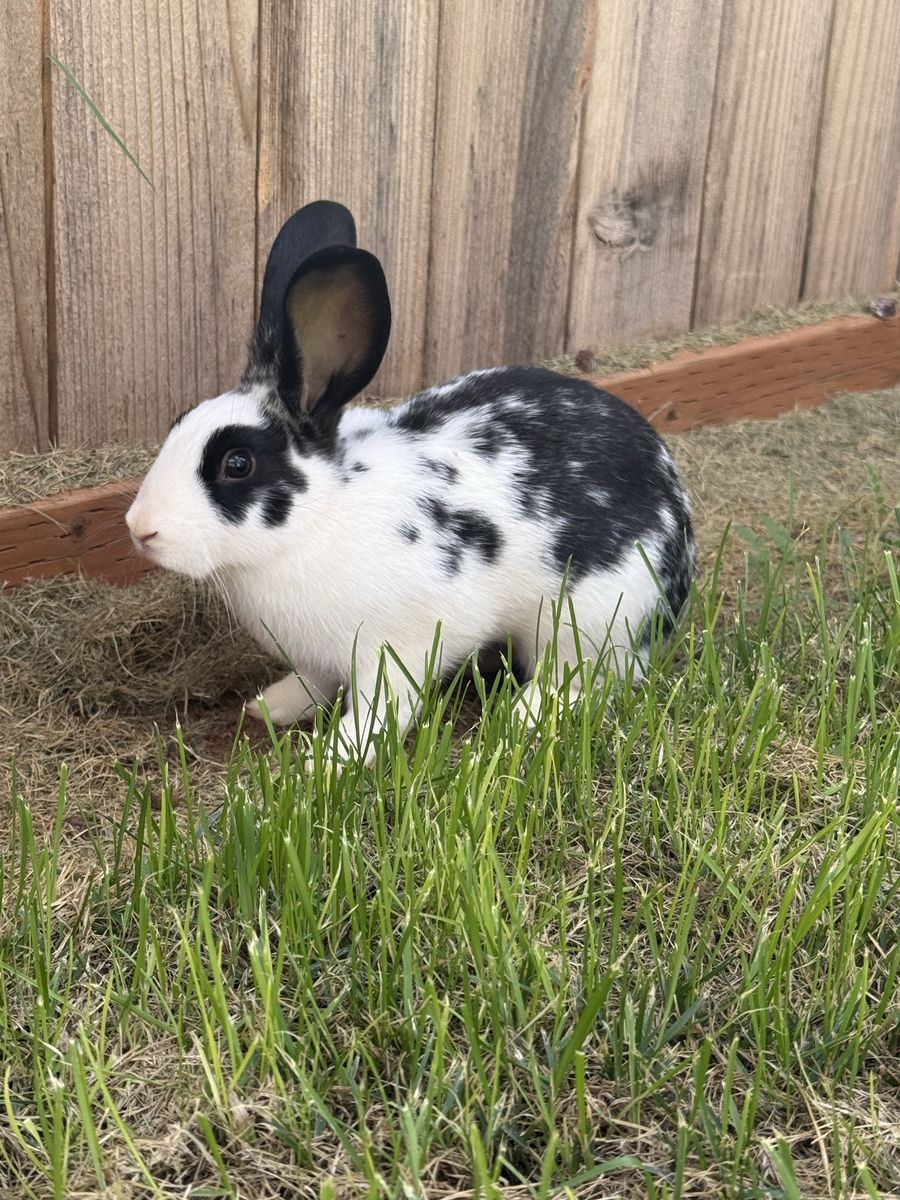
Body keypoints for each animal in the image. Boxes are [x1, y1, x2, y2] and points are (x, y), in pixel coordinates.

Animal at [126, 200, 695, 766]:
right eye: (178, 421)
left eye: (237, 463)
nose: (139, 529)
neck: (318, 518)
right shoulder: (321, 657)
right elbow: (315, 681)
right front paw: (275, 706)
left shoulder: (397, 647)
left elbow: (382, 708)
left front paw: (331, 758)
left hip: (591, 618)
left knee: (587, 680)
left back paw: (525, 714)